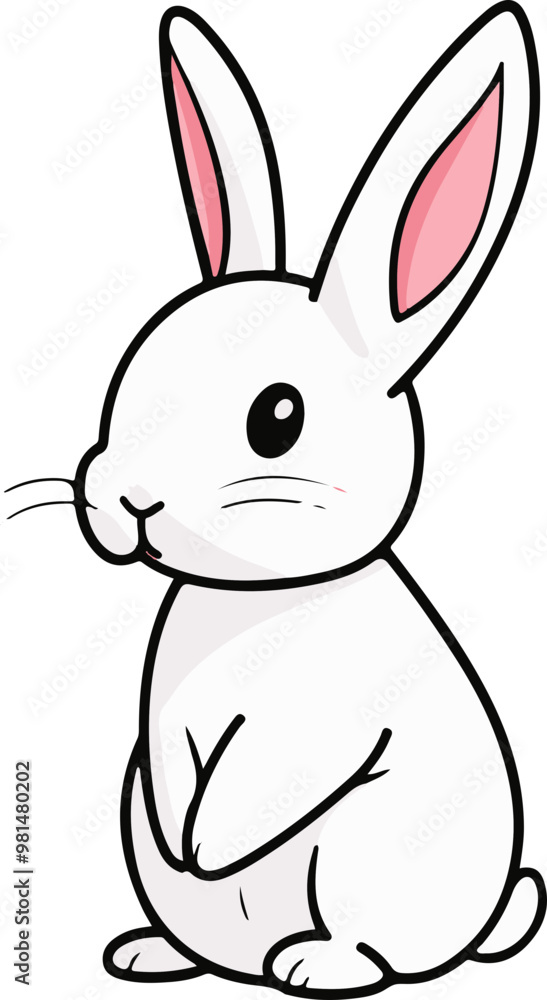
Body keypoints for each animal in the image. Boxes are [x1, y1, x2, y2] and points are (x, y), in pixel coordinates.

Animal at [8, 2, 545, 996]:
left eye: (277, 418)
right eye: (131, 371)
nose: (127, 500)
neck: (253, 601)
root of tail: (484, 924)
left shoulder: (314, 727)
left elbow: (259, 787)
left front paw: (208, 848)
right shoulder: (160, 724)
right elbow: (176, 775)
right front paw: (187, 845)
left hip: (354, 863)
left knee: (377, 949)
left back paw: (312, 964)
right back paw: (148, 953)